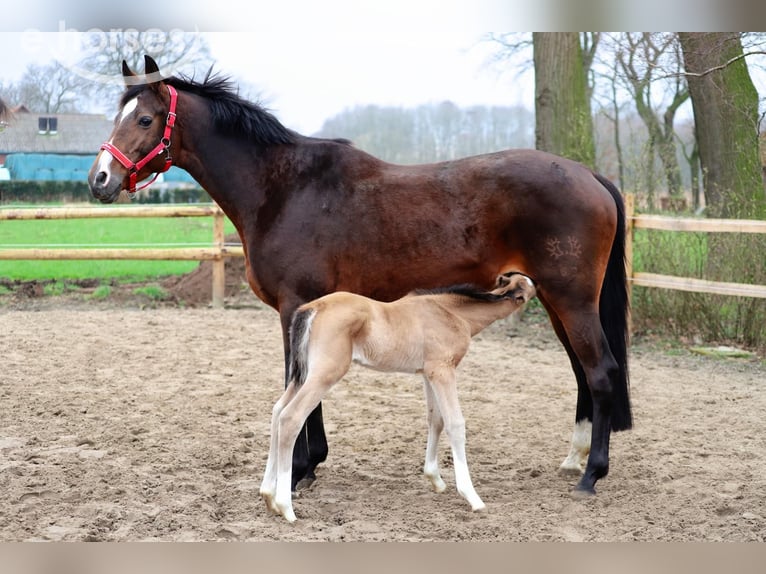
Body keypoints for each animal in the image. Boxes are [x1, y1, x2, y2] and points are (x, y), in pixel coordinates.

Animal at [260, 272, 536, 522]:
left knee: (277, 411)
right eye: (530, 291)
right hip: (324, 374)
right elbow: (455, 424)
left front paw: (435, 479)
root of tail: (313, 308)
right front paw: (472, 497)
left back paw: (268, 497)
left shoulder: (429, 373)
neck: (452, 313)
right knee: (291, 417)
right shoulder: (443, 370)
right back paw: (286, 507)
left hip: (303, 375)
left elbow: (435, 420)